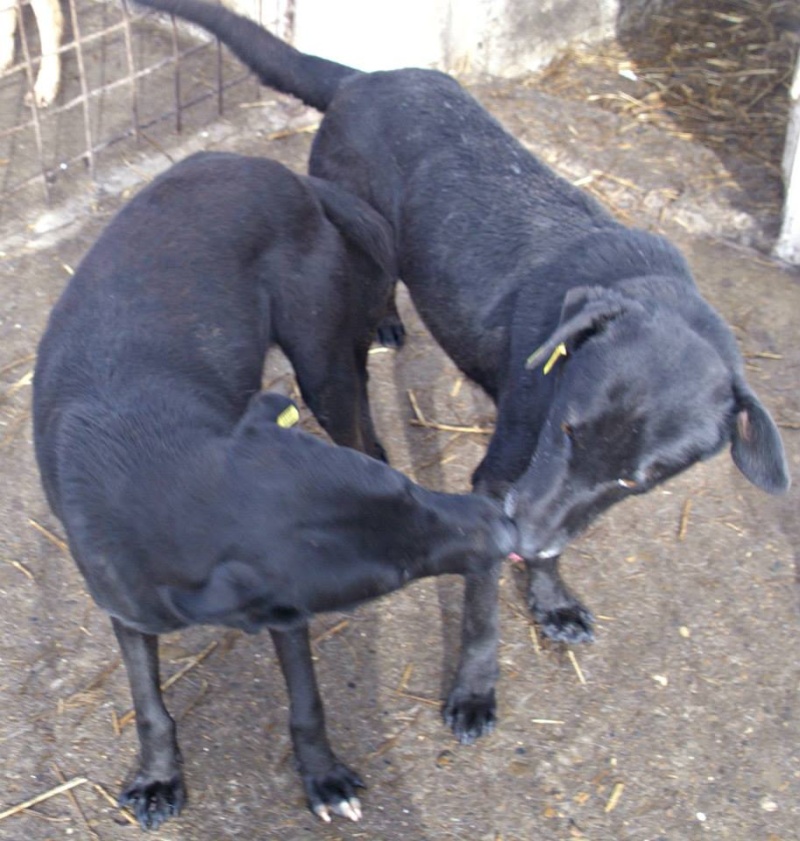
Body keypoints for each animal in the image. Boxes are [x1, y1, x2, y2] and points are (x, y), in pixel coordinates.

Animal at [32, 151, 520, 828]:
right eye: (398, 570)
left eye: (410, 494)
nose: (504, 523)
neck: (149, 455)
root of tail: (275, 170)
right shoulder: (128, 606)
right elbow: (149, 705)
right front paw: (158, 778)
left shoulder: (286, 614)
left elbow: (307, 702)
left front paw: (324, 777)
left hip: (319, 359)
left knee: (355, 416)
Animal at [133, 0, 792, 744]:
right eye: (566, 428)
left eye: (633, 479)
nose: (520, 540)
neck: (640, 285)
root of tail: (366, 78)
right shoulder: (502, 478)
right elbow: (480, 616)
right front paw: (475, 691)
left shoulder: (545, 498)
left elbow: (559, 540)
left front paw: (551, 599)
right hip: (358, 225)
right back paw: (385, 322)